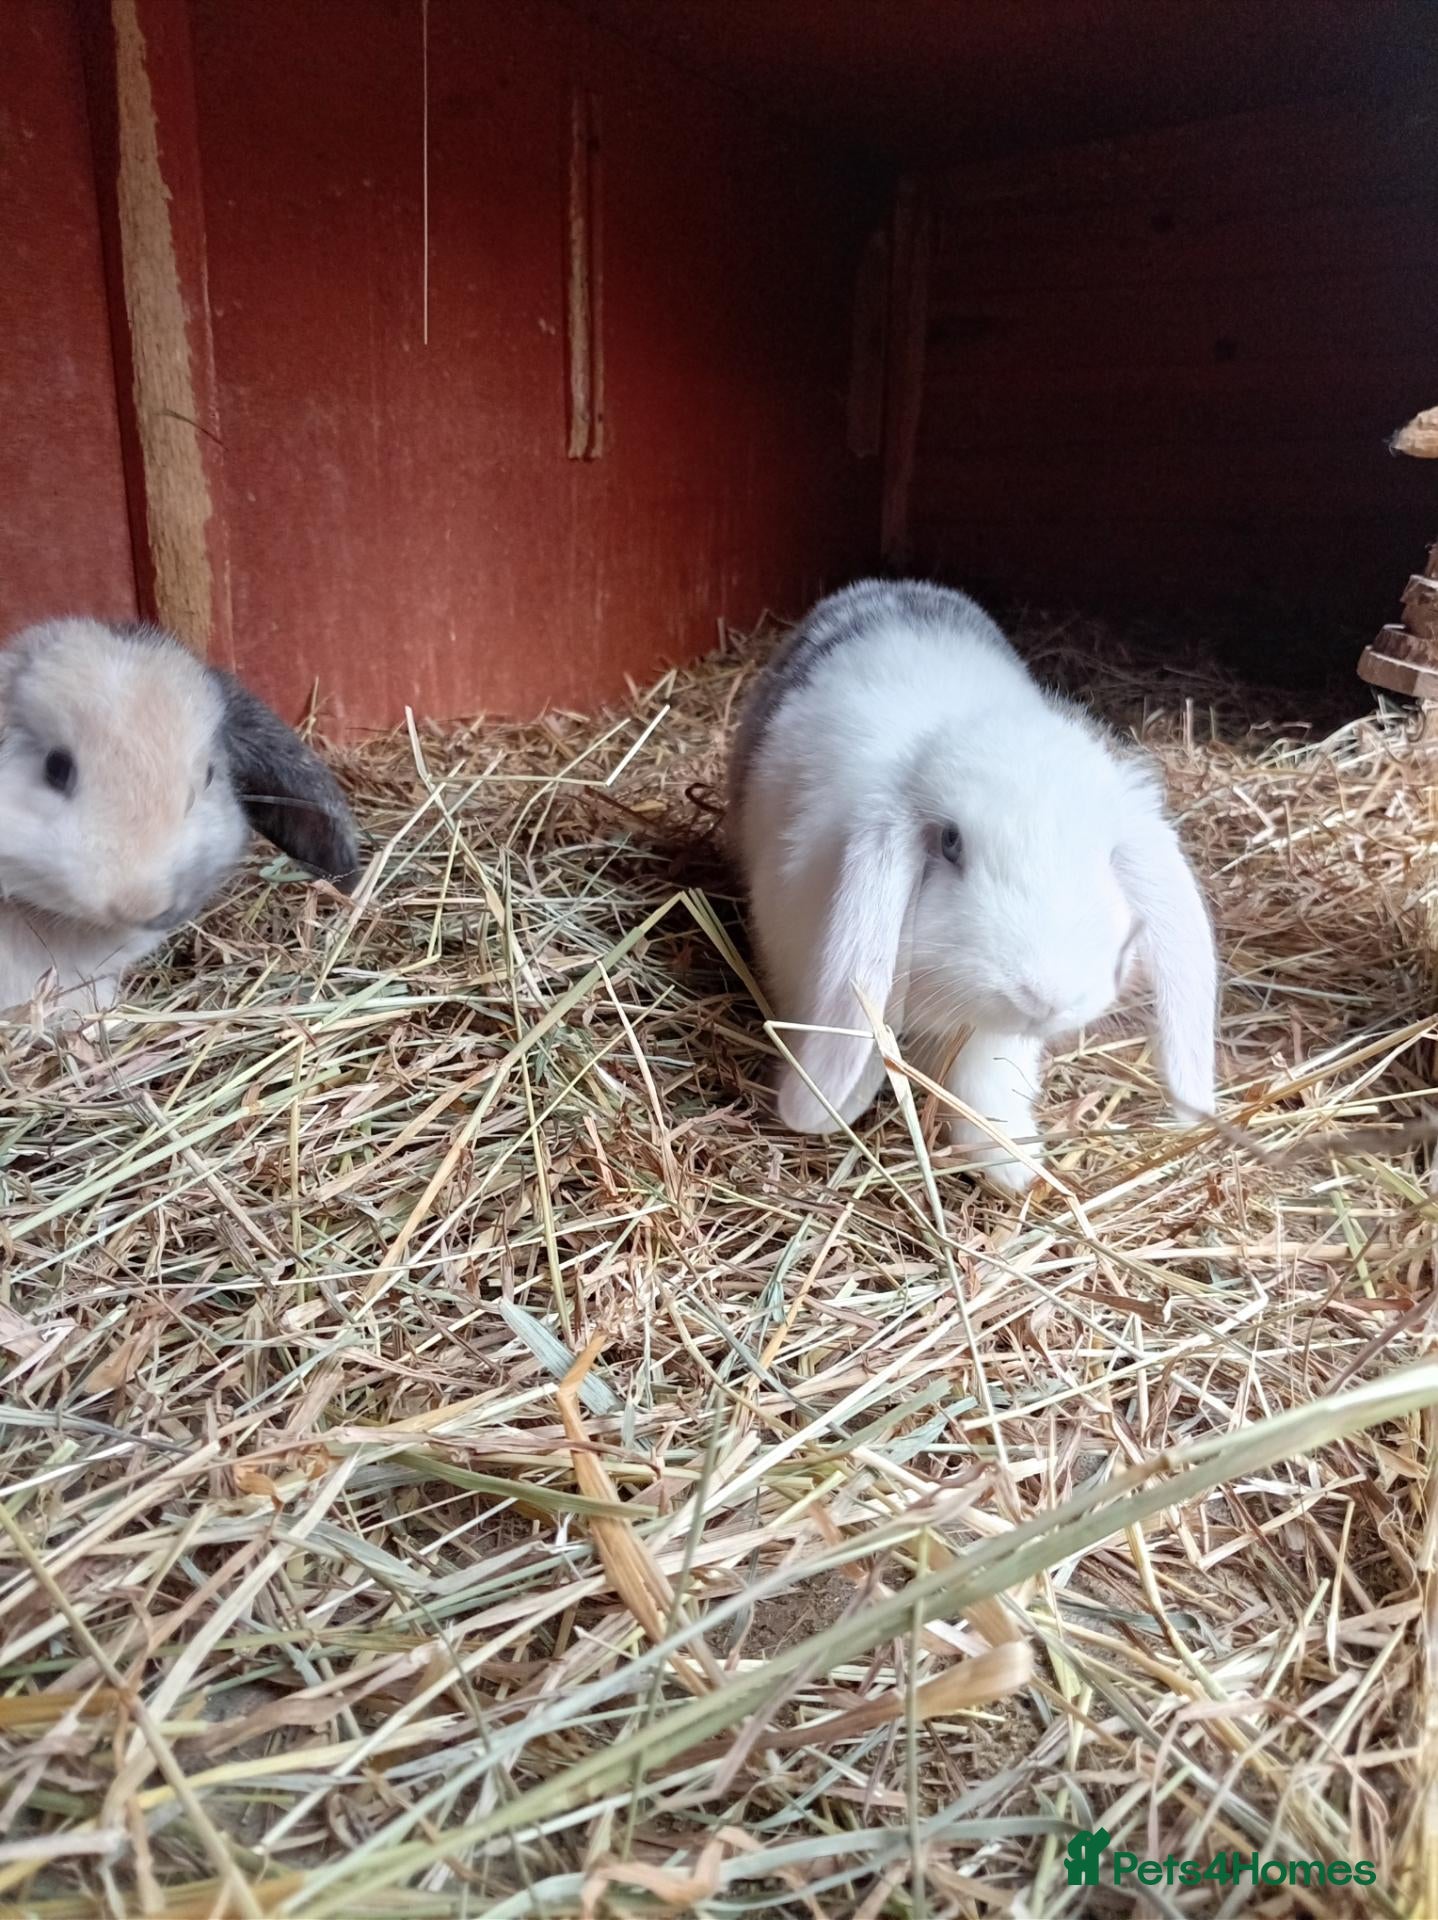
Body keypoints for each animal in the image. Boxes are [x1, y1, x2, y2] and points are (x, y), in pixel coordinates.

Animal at [727, 579, 1218, 1195]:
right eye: (950, 843)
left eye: (1106, 856)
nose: (1046, 996)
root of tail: (891, 587)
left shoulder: (991, 1037)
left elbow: (985, 1086)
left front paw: (1013, 1167)